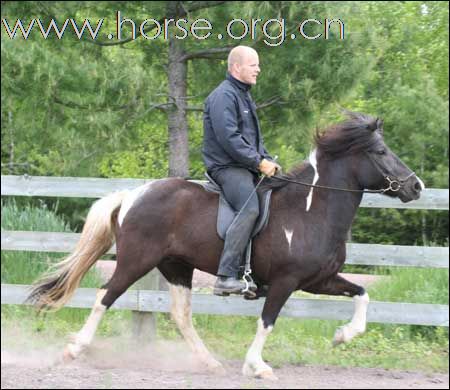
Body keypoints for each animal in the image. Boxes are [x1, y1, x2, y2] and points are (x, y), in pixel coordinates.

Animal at [29, 111, 426, 380]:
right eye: (381, 151)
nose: (416, 186)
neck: (311, 210)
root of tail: (133, 194)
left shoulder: (319, 281)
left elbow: (362, 294)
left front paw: (343, 336)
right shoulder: (285, 282)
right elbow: (267, 321)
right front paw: (257, 366)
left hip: (176, 267)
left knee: (181, 315)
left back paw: (209, 363)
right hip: (135, 261)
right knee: (104, 296)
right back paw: (74, 350)